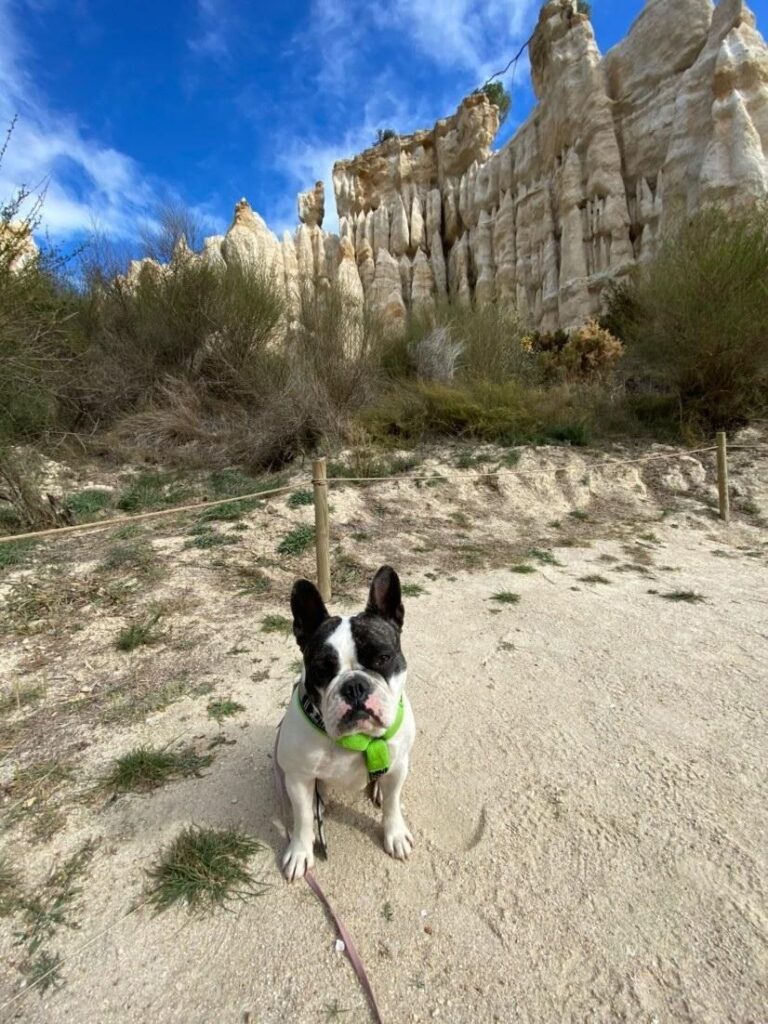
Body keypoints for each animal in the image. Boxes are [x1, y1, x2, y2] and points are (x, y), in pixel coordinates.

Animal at [278, 565, 415, 884]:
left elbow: (393, 803)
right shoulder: (299, 778)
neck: (356, 738)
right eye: (321, 669)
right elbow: (302, 819)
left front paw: (395, 834)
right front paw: (300, 852)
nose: (354, 686)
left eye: (383, 657)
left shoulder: (399, 765)